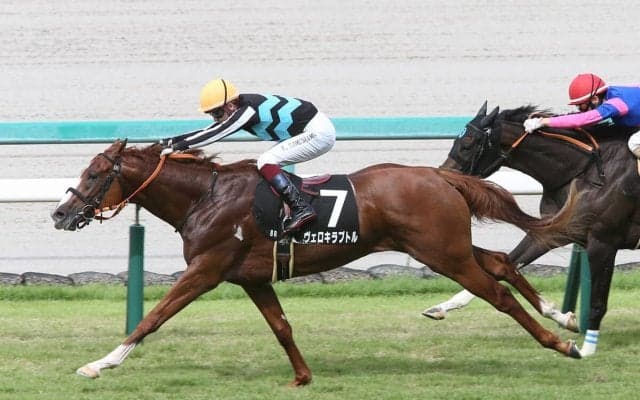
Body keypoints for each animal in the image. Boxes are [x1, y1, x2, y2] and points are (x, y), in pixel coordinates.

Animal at [51, 139, 582, 386]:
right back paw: (564, 317)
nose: (60, 213)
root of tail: (439, 175)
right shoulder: (252, 279)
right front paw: (302, 376)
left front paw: (101, 363)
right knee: (501, 262)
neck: (206, 196)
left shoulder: (207, 269)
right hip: (444, 247)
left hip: (441, 252)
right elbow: (282, 326)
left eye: (95, 174)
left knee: (498, 292)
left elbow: (155, 316)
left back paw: (561, 343)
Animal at [423, 101, 640, 356]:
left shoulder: (602, 242)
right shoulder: (554, 230)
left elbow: (598, 302)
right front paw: (441, 307)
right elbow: (507, 263)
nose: (442, 175)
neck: (586, 172)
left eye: (467, 145)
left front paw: (586, 349)